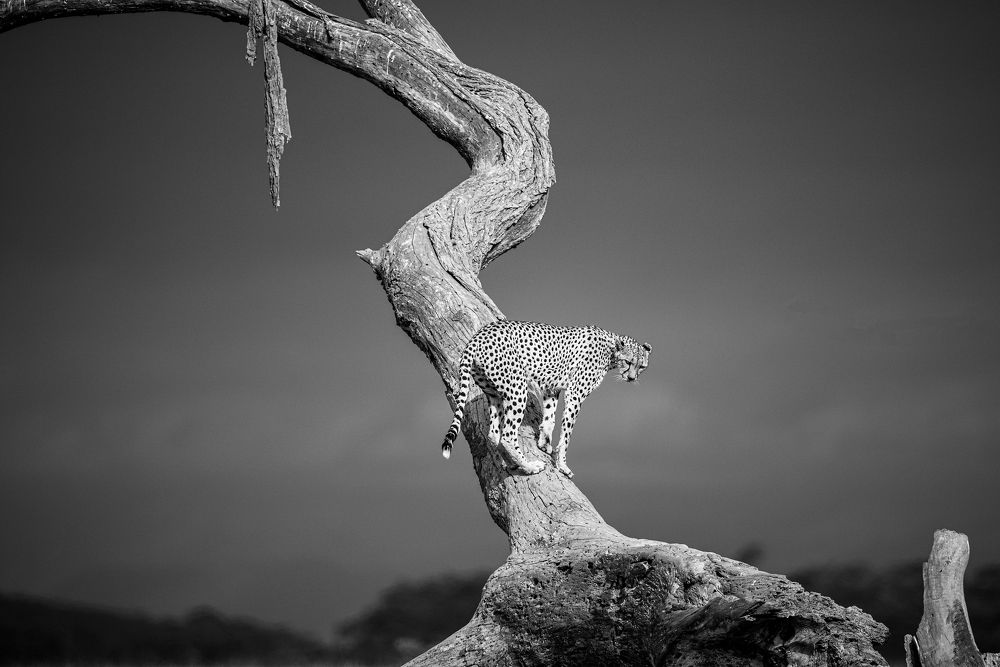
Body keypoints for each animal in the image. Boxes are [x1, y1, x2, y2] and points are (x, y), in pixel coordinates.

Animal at [440, 320, 651, 478]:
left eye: (642, 366)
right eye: (628, 362)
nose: (632, 378)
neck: (611, 349)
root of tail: (478, 335)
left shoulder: (552, 388)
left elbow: (550, 418)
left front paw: (544, 443)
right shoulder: (575, 394)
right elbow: (566, 434)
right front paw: (562, 465)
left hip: (494, 393)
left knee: (494, 434)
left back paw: (514, 464)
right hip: (518, 388)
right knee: (508, 435)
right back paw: (529, 466)